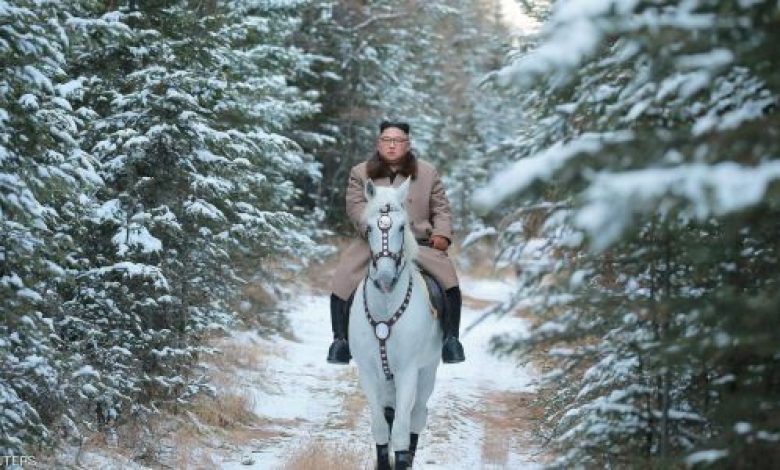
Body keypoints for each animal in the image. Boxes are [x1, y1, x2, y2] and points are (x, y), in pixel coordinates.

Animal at [348, 178, 442, 468]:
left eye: (403, 227)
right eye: (368, 228)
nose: (385, 278)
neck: (386, 306)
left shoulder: (408, 371)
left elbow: (400, 432)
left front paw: (401, 459)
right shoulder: (368, 372)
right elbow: (381, 426)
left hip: (427, 371)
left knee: (417, 416)